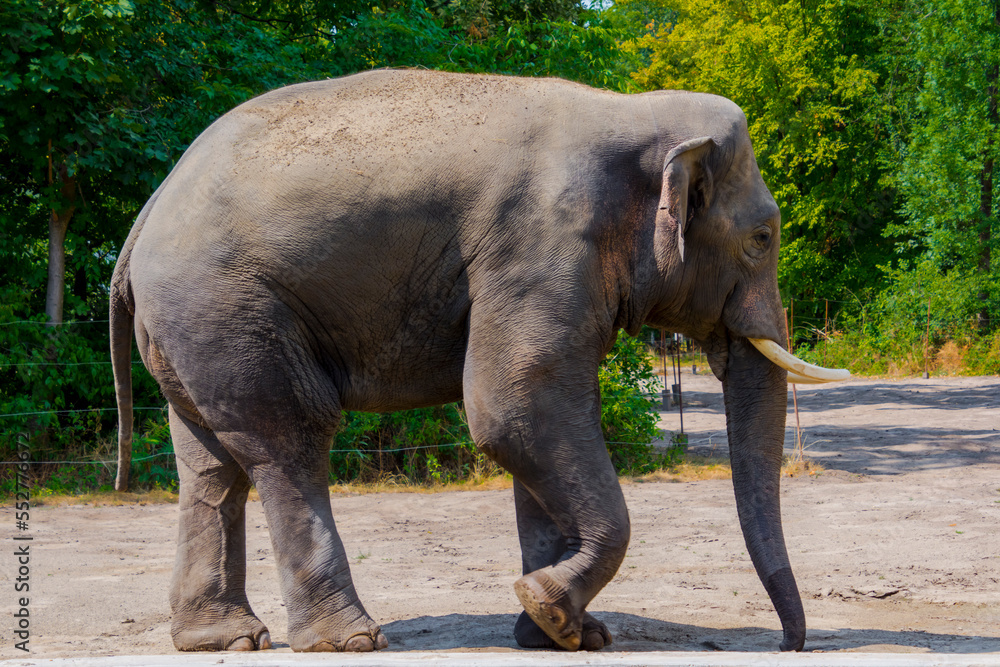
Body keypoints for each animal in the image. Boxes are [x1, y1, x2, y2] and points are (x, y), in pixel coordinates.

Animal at [110, 69, 847, 654]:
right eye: (761, 239)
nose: (787, 644)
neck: (635, 112)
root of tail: (145, 216)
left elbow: (541, 418)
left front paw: (564, 632)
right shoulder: (545, 243)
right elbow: (515, 405)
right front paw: (549, 606)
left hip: (191, 326)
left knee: (210, 461)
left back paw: (224, 639)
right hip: (226, 305)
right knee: (289, 439)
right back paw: (349, 640)